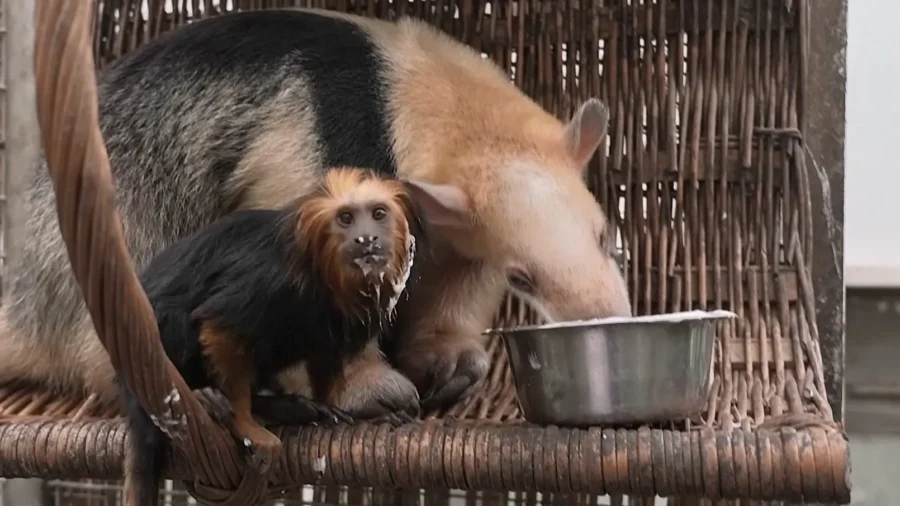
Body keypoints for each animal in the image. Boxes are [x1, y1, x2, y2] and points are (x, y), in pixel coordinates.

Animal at [0, 8, 631, 413]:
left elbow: (454, 279)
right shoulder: (311, 155)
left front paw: (448, 367)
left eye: (604, 236)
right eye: (523, 277)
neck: (400, 91)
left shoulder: (455, 226)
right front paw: (376, 391)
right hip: (111, 238)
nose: (611, 317)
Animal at [120, 167, 422, 506]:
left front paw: (356, 416)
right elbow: (220, 325)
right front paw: (245, 423)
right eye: (346, 218)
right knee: (174, 315)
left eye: (378, 214)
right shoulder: (274, 279)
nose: (367, 238)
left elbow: (326, 362)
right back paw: (206, 398)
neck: (326, 272)